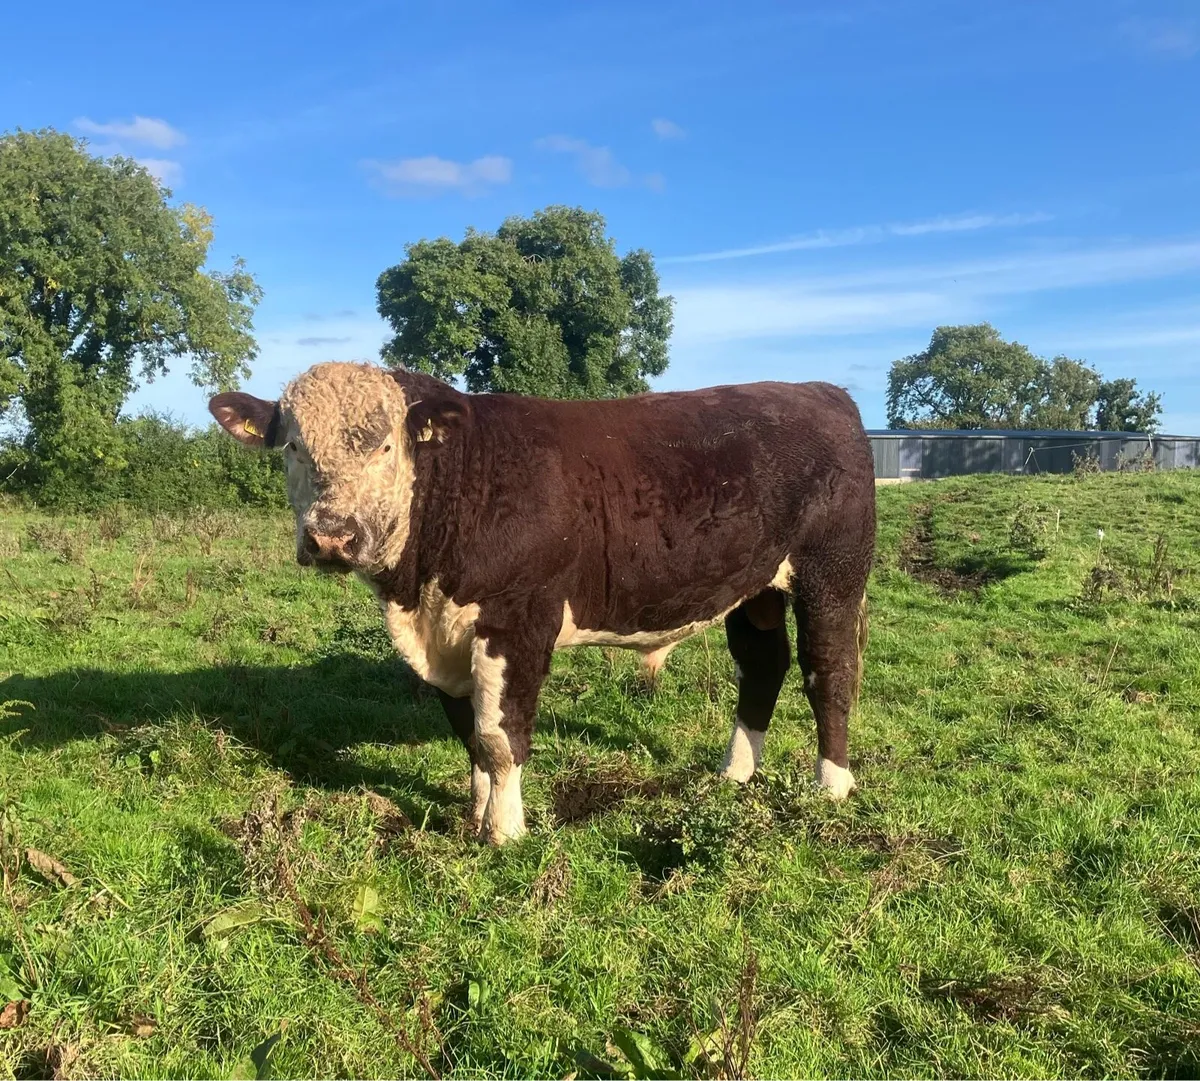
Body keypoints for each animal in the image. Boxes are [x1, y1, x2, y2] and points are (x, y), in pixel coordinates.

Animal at [210, 362, 876, 844]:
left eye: (384, 448)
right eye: (292, 447)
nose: (331, 536)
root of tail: (822, 391)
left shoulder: (518, 619)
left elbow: (502, 737)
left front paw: (506, 833)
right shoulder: (451, 638)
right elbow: (471, 736)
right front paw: (474, 816)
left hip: (833, 572)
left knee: (829, 671)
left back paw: (832, 787)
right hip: (755, 588)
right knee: (764, 665)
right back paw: (734, 774)